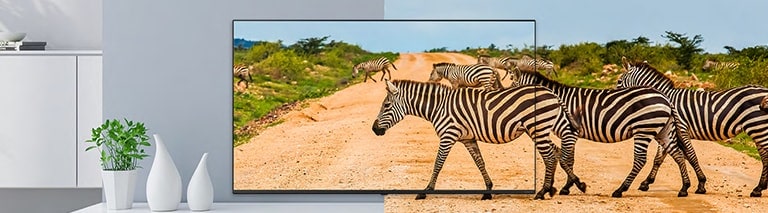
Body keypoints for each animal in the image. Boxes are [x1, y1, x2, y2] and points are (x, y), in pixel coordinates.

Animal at [372, 79, 584, 200]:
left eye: (387, 105)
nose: (374, 129)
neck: (438, 107)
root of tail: (552, 93)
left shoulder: (448, 135)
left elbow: (438, 163)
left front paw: (426, 191)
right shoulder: (468, 139)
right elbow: (479, 162)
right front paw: (488, 191)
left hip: (537, 128)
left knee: (550, 156)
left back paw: (543, 192)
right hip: (540, 129)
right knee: (556, 152)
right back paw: (564, 186)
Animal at [512, 70, 700, 198]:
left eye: (512, 89)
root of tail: (665, 97)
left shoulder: (569, 132)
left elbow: (566, 160)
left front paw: (576, 185)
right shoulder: (571, 135)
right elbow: (570, 160)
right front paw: (568, 186)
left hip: (643, 129)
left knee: (640, 159)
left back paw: (620, 190)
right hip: (662, 130)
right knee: (677, 154)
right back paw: (684, 188)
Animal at [616, 57, 768, 197]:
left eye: (619, 82)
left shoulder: (681, 128)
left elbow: (690, 155)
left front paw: (700, 185)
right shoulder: (668, 130)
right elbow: (659, 158)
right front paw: (646, 183)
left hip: (758, 126)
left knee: (765, 155)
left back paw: (759, 188)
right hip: (758, 128)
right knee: (764, 156)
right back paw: (759, 188)